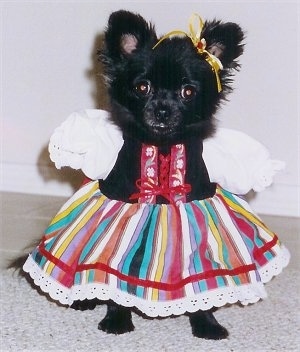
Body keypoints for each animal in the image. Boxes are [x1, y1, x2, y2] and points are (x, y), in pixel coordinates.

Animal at [77, 10, 244, 338]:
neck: (164, 146)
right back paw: (83, 299)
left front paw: (207, 323)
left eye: (188, 92)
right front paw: (117, 319)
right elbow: (117, 282)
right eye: (143, 87)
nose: (163, 110)